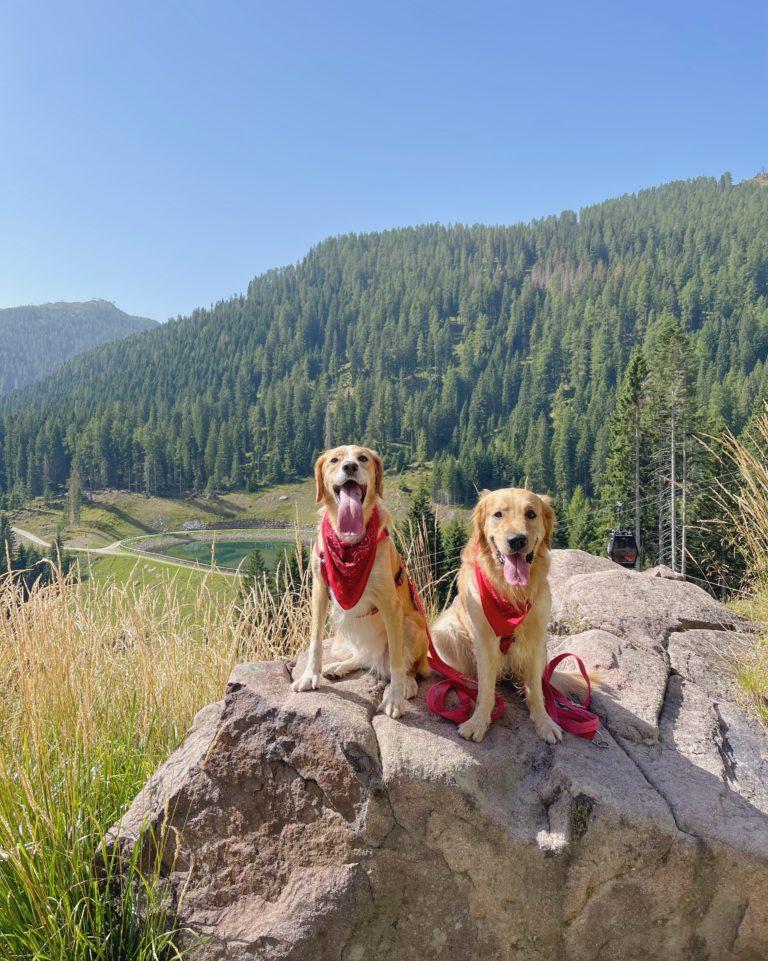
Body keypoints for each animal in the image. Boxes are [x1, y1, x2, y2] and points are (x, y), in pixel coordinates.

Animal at [292, 446, 428, 716]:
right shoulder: (319, 589)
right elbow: (315, 641)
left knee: (406, 666)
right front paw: (310, 675)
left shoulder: (390, 605)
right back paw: (340, 666)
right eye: (334, 460)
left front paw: (394, 698)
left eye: (363, 458)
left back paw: (407, 683)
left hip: (411, 626)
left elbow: (397, 661)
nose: (350, 467)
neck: (349, 544)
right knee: (364, 657)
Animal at [432, 488, 588, 744]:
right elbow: (486, 689)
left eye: (531, 514)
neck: (510, 592)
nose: (517, 540)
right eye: (498, 514)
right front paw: (478, 721)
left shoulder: (537, 638)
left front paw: (544, 721)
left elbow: (536, 689)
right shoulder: (484, 640)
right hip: (444, 632)